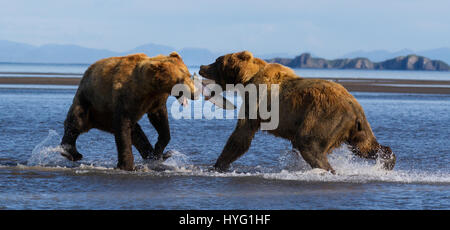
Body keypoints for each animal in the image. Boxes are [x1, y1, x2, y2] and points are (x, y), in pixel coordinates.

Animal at [60, 52, 198, 171]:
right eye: (180, 79)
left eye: (188, 74)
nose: (195, 93)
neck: (149, 87)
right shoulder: (127, 98)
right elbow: (123, 126)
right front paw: (126, 165)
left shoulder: (155, 100)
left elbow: (160, 122)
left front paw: (158, 151)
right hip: (90, 102)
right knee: (77, 121)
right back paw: (71, 152)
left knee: (136, 133)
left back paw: (155, 155)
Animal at [199, 50, 396, 172]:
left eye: (217, 61)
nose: (201, 67)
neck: (246, 79)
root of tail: (354, 106)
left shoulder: (256, 101)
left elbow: (241, 135)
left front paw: (217, 165)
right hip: (357, 127)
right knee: (365, 147)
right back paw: (388, 161)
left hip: (325, 116)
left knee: (309, 144)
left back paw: (327, 169)